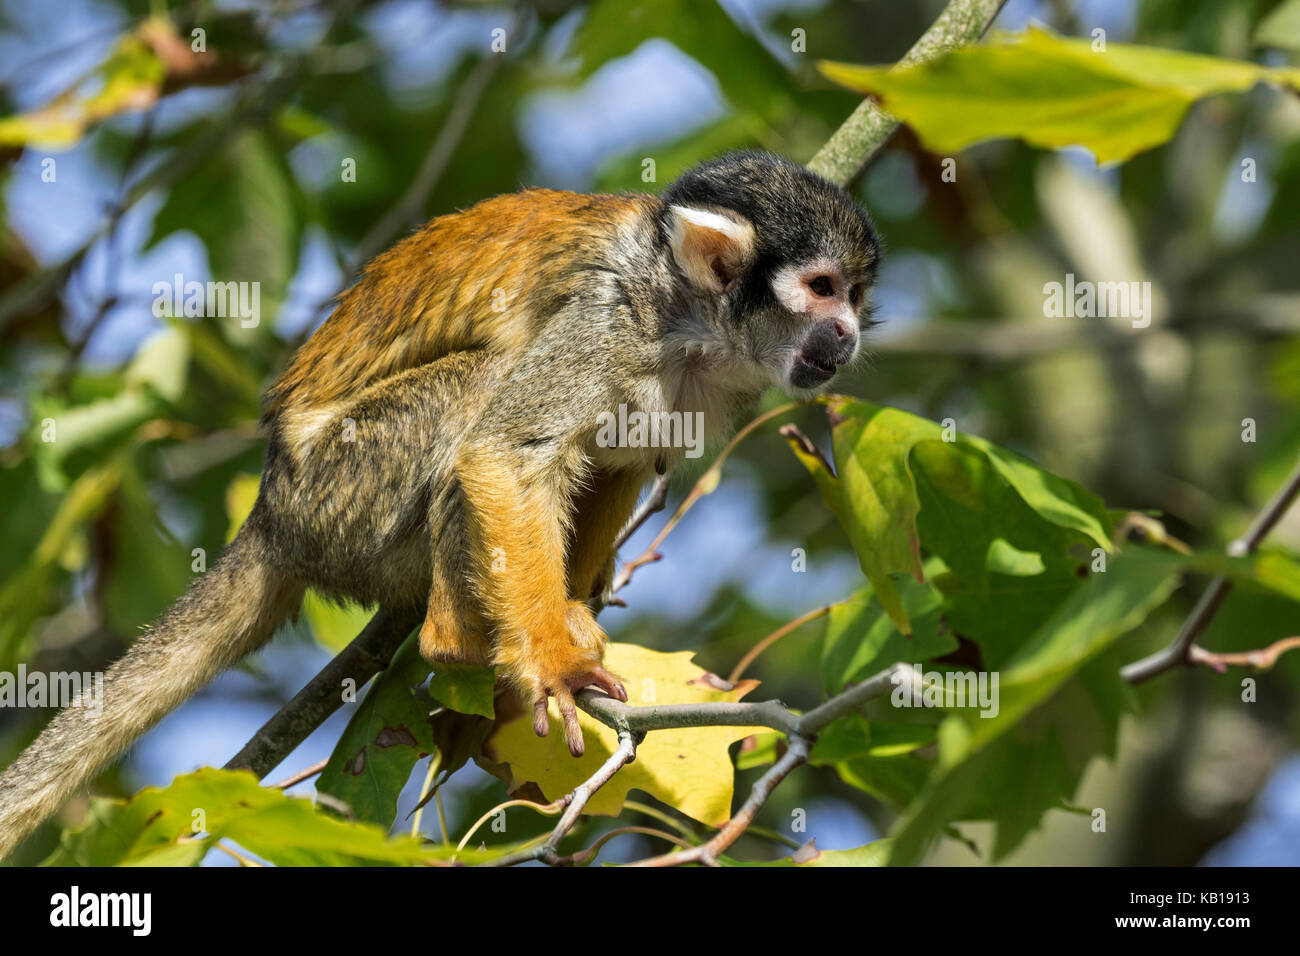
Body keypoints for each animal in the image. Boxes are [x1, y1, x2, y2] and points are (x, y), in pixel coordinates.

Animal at [0, 151, 878, 858]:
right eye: (822, 288)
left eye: (856, 296)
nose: (848, 333)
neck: (688, 317)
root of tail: (273, 513)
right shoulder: (606, 321)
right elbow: (506, 453)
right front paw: (553, 662)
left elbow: (623, 456)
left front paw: (568, 612)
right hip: (346, 486)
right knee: (479, 392)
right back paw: (456, 641)